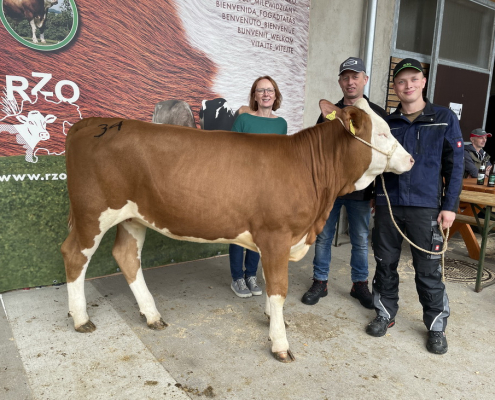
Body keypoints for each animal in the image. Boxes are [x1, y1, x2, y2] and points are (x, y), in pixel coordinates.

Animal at [60, 97, 412, 362]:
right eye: (383, 133)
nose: (410, 159)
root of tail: (91, 123)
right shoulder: (276, 234)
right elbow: (279, 288)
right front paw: (280, 343)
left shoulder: (276, 241)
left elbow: (270, 285)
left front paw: (272, 318)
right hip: (92, 212)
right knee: (75, 254)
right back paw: (81, 319)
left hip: (133, 217)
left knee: (126, 256)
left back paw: (152, 315)